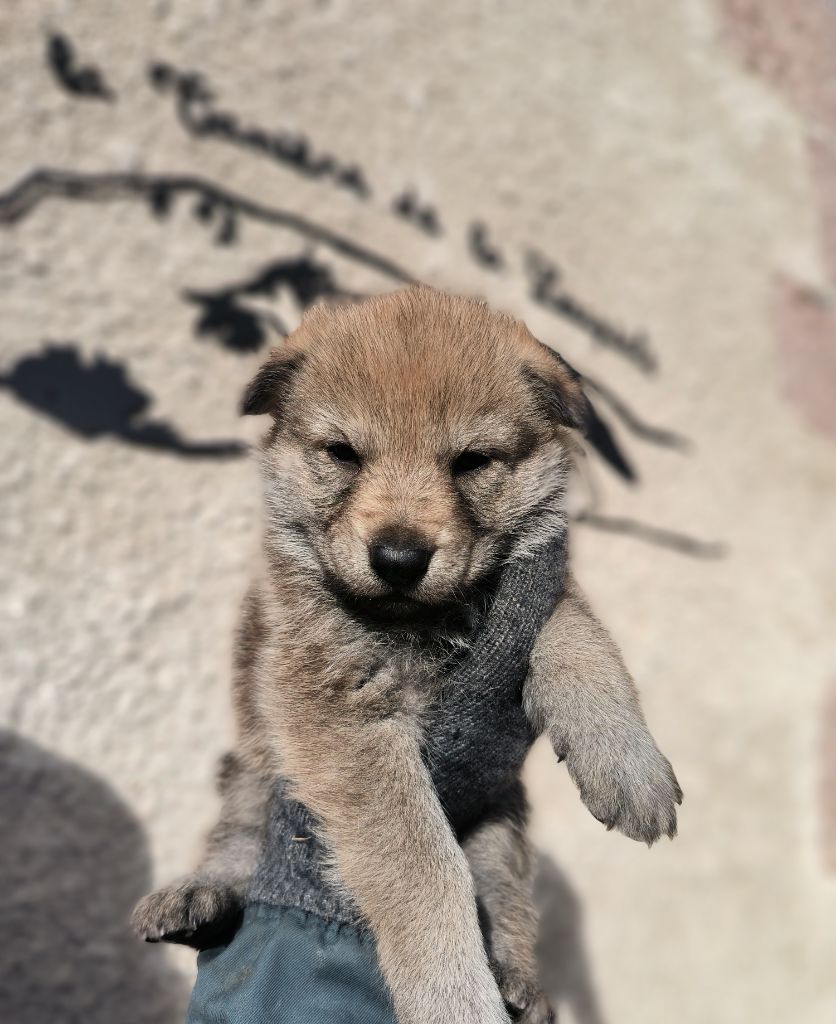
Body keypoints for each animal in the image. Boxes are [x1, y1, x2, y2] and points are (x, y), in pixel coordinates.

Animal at [132, 286, 680, 1024]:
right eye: (342, 453)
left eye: (471, 461)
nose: (398, 558)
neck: (420, 621)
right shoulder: (339, 715)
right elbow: (424, 865)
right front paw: (454, 994)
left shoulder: (536, 588)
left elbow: (582, 642)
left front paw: (627, 763)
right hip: (253, 769)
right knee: (238, 835)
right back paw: (200, 897)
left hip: (502, 819)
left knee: (506, 893)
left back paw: (519, 980)